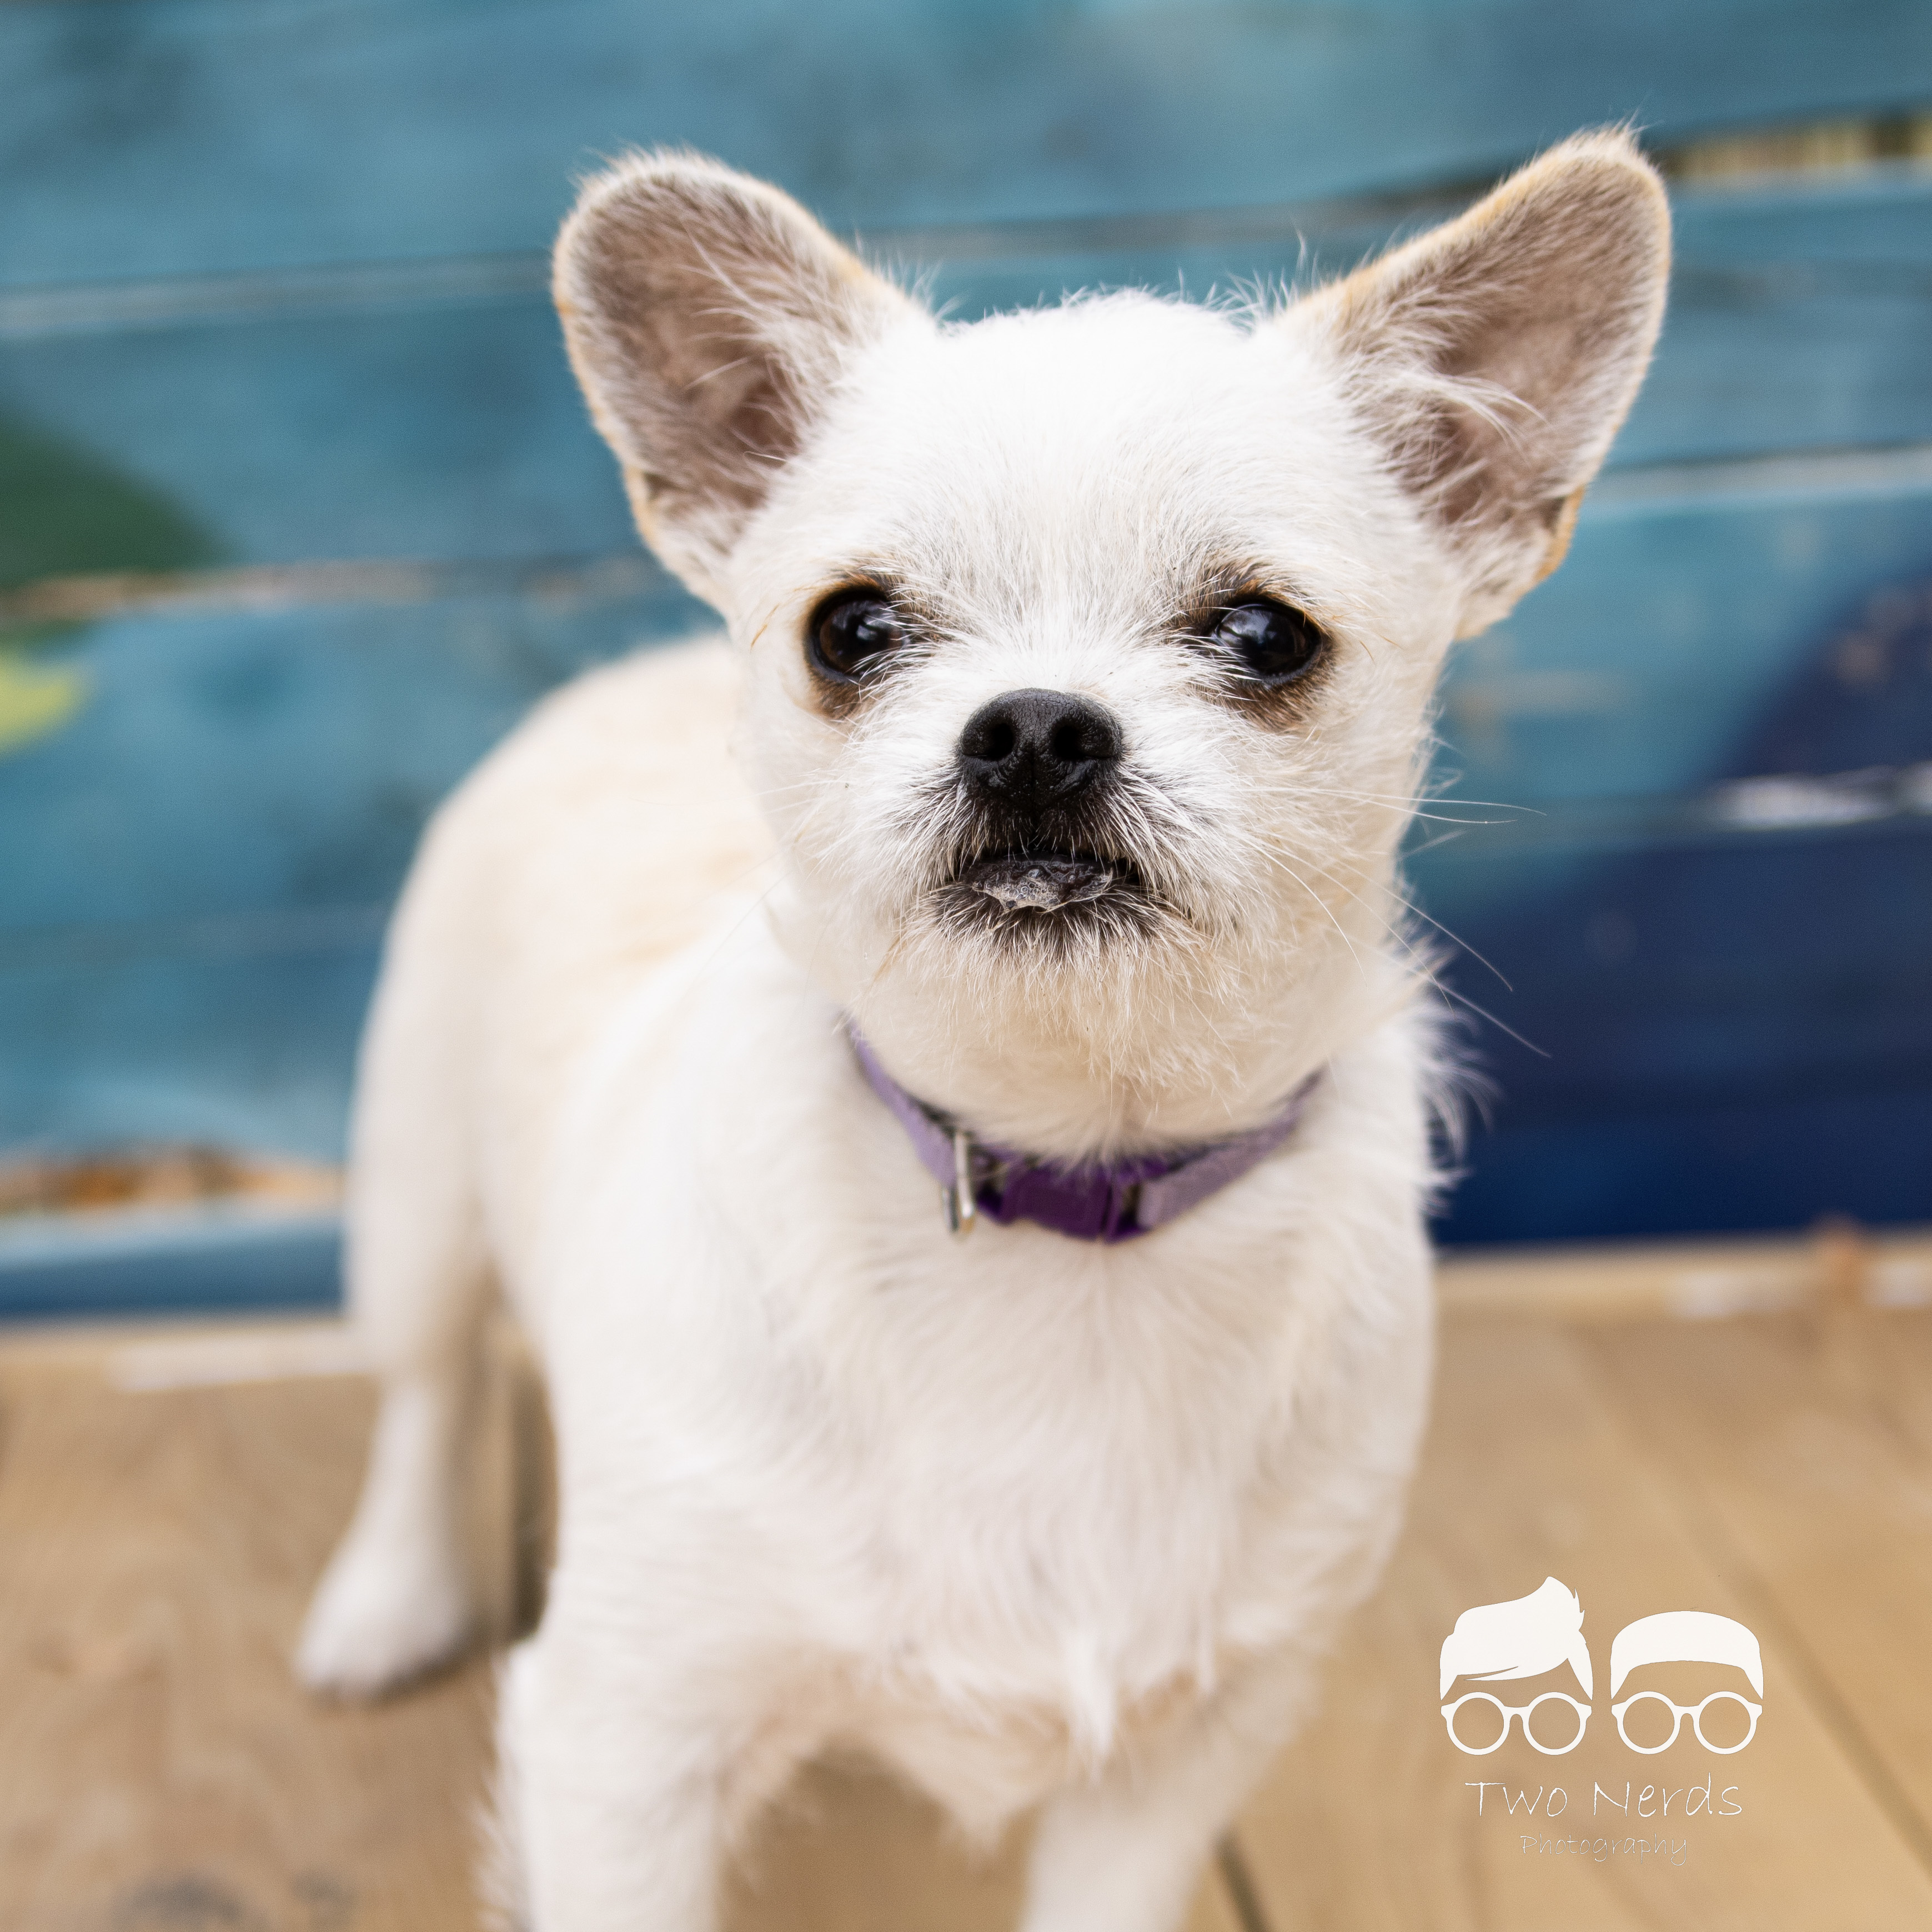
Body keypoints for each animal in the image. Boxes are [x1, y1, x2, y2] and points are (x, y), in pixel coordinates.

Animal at [293, 128, 1669, 1924]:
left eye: (1263, 634)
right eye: (851, 629)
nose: (1031, 728)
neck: (1062, 1179)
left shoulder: (1182, 1759)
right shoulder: (624, 1743)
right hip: (414, 1201)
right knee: (425, 1391)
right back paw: (390, 1596)